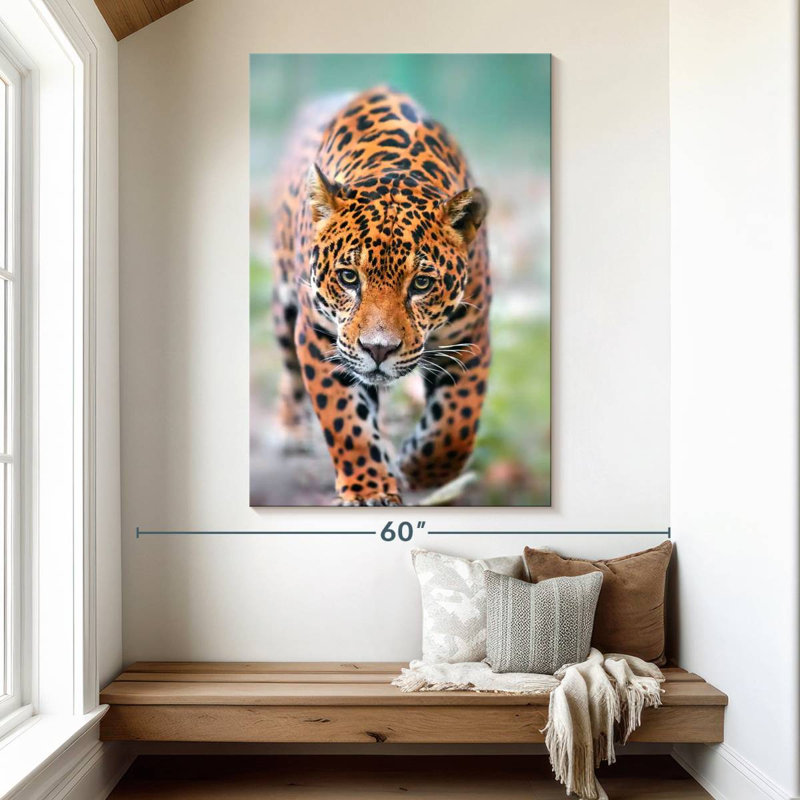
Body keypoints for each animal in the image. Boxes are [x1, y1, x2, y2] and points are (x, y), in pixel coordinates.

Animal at [270, 86, 491, 506]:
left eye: (421, 284)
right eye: (348, 277)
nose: (378, 349)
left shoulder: (470, 339)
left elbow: (455, 424)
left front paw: (418, 469)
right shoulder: (320, 337)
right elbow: (345, 420)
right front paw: (368, 489)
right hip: (283, 302)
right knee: (288, 367)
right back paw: (290, 430)